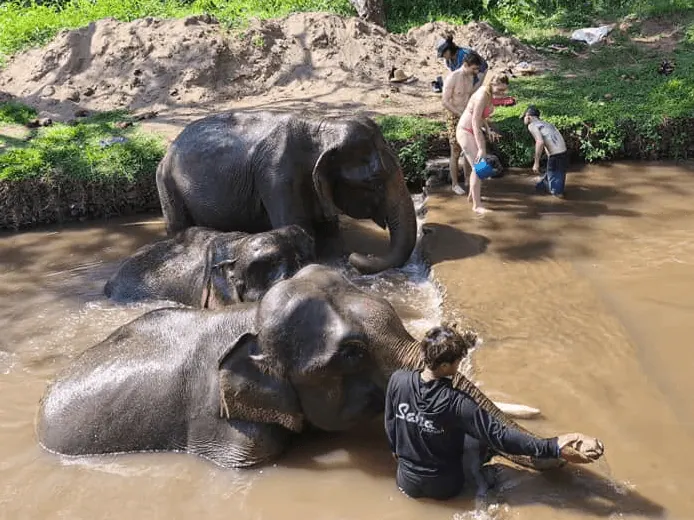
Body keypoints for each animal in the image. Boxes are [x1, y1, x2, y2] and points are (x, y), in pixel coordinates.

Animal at [154, 110, 417, 275]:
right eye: (375, 180)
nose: (359, 256)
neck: (322, 127)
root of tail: (168, 150)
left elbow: (329, 234)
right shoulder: (277, 176)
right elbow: (296, 228)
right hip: (167, 183)